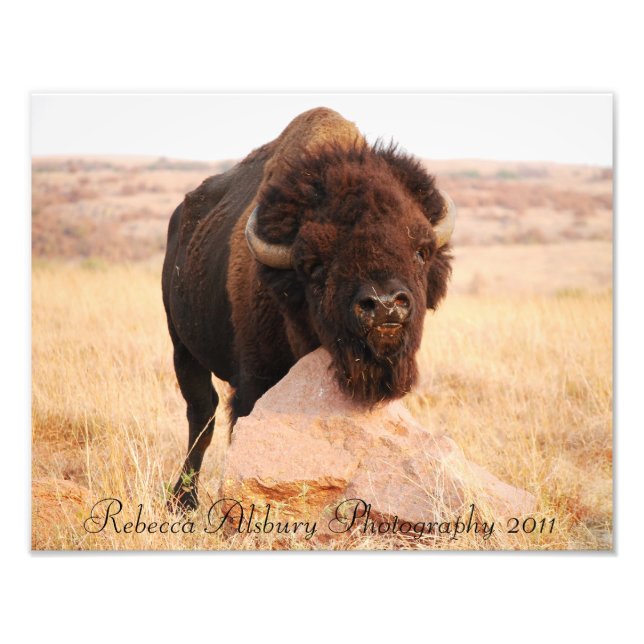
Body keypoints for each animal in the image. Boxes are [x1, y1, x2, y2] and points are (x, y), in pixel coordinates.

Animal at [162, 107, 455, 509]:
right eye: (315, 265)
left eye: (421, 251)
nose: (383, 306)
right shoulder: (254, 381)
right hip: (183, 347)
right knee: (201, 413)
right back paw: (183, 499)